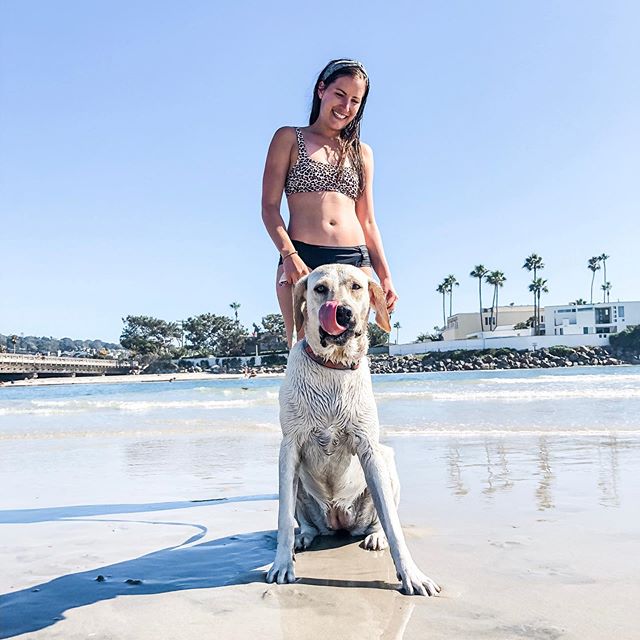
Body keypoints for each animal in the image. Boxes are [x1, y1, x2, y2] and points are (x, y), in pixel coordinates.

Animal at [264, 264, 440, 596]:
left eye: (357, 287)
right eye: (320, 289)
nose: (342, 312)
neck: (332, 366)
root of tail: (338, 519)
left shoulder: (369, 448)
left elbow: (394, 525)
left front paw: (411, 573)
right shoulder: (288, 448)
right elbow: (283, 519)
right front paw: (282, 563)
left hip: (386, 461)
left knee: (381, 517)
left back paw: (375, 535)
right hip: (300, 486)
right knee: (305, 522)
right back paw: (304, 536)